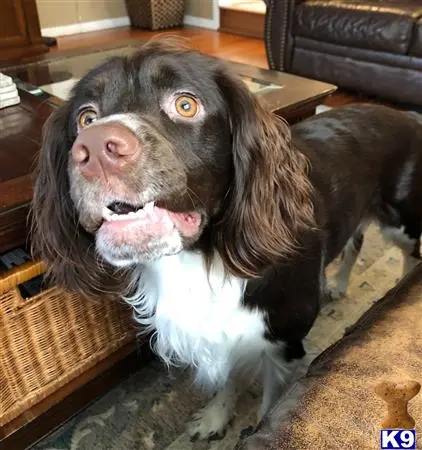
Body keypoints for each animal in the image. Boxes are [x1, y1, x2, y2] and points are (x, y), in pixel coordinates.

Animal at [31, 38, 422, 440]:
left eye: (186, 104)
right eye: (86, 118)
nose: (93, 150)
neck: (200, 259)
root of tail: (406, 114)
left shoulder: (283, 343)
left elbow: (267, 406)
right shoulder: (219, 335)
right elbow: (227, 381)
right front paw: (215, 418)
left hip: (402, 220)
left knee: (411, 254)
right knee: (354, 244)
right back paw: (339, 285)